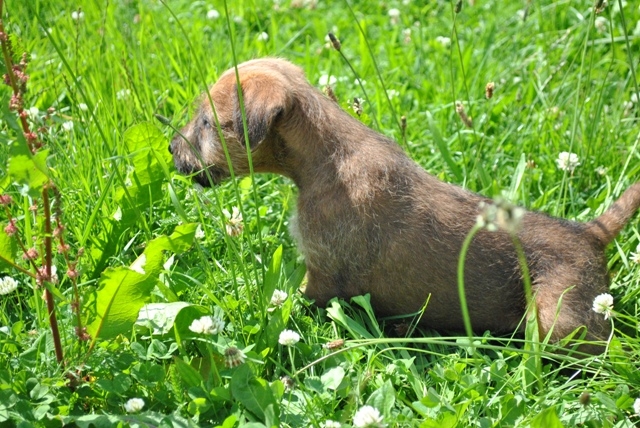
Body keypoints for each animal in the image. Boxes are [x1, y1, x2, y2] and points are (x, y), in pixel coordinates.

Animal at [170, 58, 640, 354]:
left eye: (207, 122)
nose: (171, 149)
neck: (323, 155)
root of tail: (590, 233)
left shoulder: (321, 277)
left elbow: (291, 302)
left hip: (558, 320)